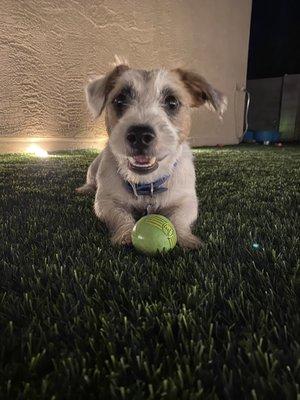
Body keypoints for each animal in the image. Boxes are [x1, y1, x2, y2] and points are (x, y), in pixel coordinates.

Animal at [76, 61, 226, 248]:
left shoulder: (187, 201)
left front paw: (186, 239)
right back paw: (85, 188)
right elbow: (120, 216)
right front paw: (125, 234)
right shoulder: (105, 202)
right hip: (94, 167)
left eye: (172, 102)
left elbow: (179, 219)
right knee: (90, 180)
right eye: (119, 100)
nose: (139, 135)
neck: (146, 184)